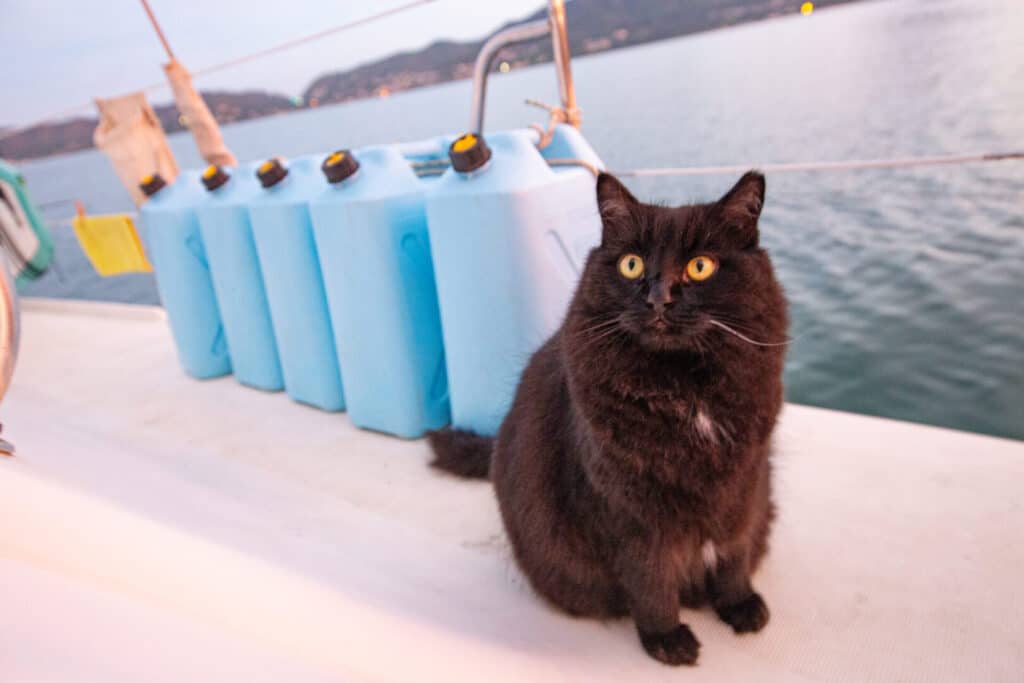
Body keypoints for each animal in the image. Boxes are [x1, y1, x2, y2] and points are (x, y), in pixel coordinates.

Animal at [428, 172, 786, 667]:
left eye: (700, 267)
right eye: (631, 265)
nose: (659, 298)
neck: (683, 390)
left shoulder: (742, 488)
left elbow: (733, 555)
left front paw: (739, 606)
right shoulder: (627, 512)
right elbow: (651, 580)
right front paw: (667, 639)